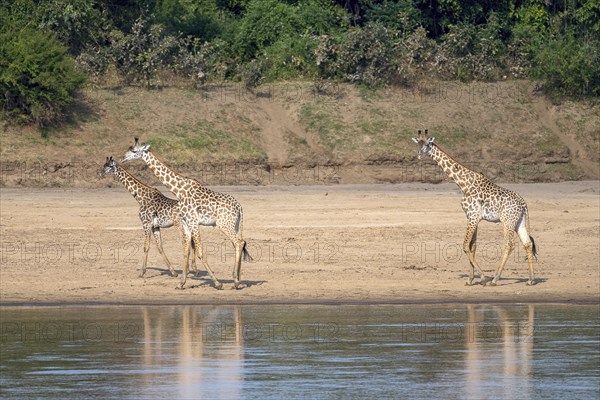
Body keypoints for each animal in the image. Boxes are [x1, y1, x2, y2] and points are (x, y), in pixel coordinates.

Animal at [120, 139, 252, 290]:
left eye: (134, 151)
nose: (123, 158)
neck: (179, 190)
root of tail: (239, 207)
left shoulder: (193, 221)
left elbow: (199, 251)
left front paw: (217, 283)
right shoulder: (186, 223)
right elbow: (186, 250)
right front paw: (181, 283)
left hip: (224, 224)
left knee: (239, 243)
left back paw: (236, 281)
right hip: (234, 225)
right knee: (239, 243)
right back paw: (238, 280)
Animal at [412, 130, 540, 284]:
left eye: (427, 144)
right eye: (417, 144)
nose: (419, 155)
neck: (463, 184)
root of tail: (523, 204)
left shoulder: (472, 216)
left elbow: (465, 246)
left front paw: (482, 277)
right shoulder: (474, 218)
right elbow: (473, 246)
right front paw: (470, 279)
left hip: (507, 221)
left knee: (509, 245)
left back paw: (495, 279)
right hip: (519, 222)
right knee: (527, 243)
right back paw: (531, 279)